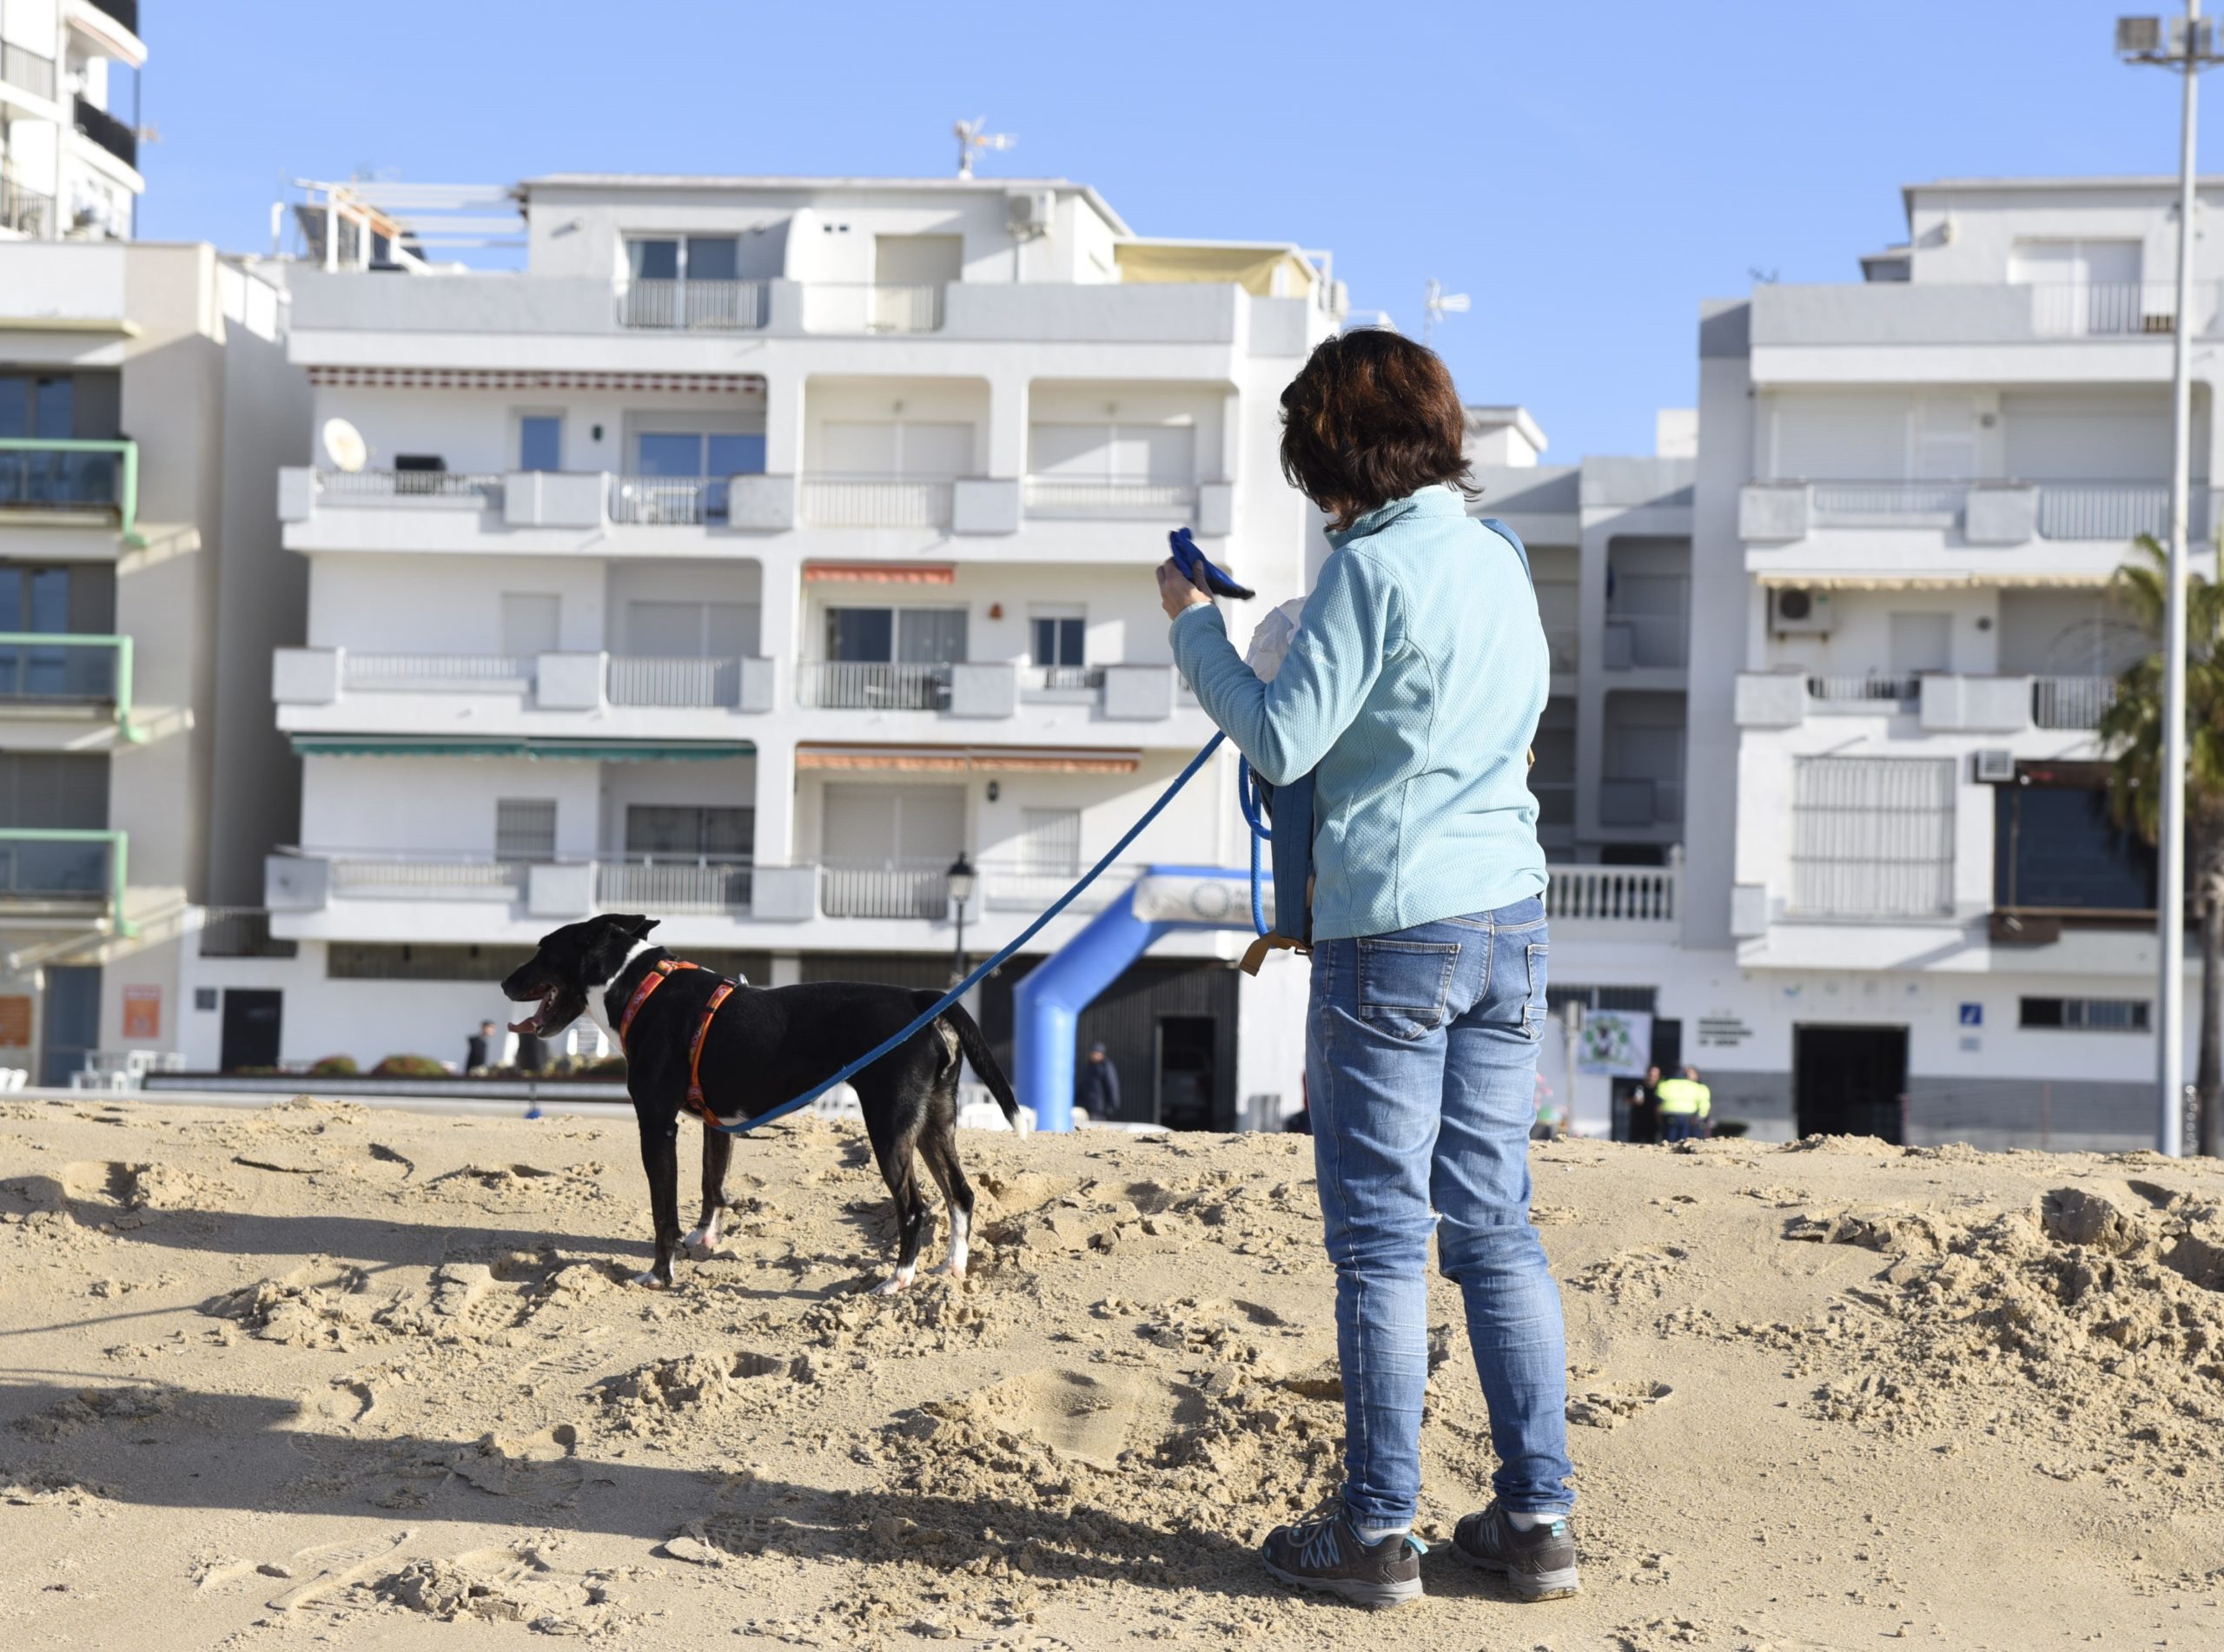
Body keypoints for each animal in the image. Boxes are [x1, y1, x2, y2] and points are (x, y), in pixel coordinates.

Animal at [500, 915, 1018, 1289]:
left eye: (543, 949)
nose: (505, 984)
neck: (639, 988)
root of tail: (922, 1000)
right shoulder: (716, 1124)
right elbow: (712, 1184)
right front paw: (705, 1239)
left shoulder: (656, 1125)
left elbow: (663, 1212)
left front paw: (661, 1275)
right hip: (934, 1122)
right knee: (961, 1194)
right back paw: (950, 1269)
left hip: (890, 1127)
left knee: (914, 1206)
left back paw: (898, 1279)